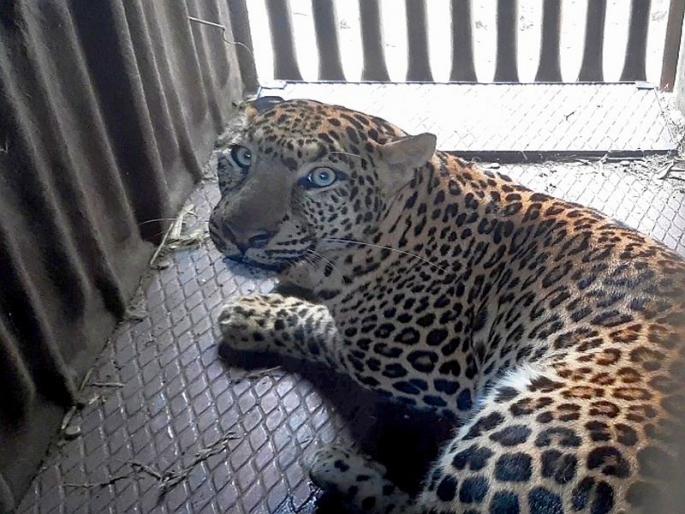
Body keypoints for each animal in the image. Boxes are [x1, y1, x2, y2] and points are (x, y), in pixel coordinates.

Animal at [209, 97, 685, 514]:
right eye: (241, 156)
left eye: (321, 178)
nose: (236, 234)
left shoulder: (415, 365)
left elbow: (316, 323)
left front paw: (248, 312)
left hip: (520, 417)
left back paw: (340, 468)